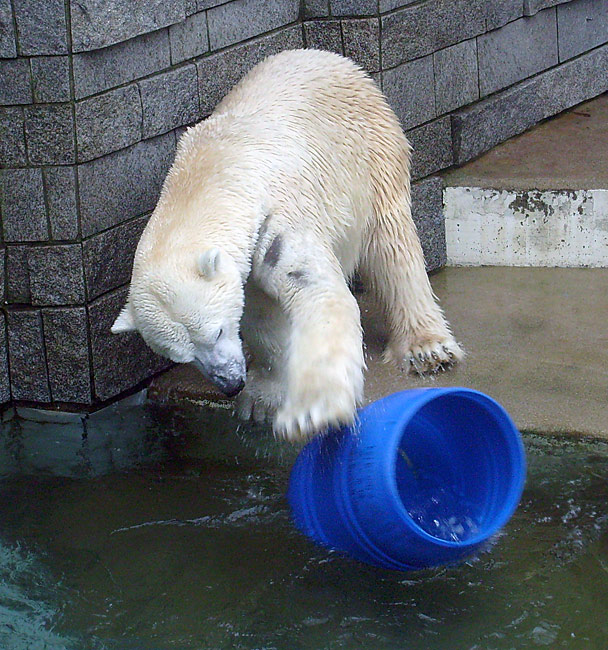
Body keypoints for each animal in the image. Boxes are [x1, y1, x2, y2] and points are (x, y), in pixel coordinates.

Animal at [110, 48, 460, 438]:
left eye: (217, 332)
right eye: (180, 356)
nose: (229, 383)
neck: (209, 174)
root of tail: (331, 58)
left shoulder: (277, 218)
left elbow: (318, 292)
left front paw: (313, 410)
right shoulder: (248, 260)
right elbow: (262, 317)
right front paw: (262, 401)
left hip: (370, 153)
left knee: (391, 244)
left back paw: (426, 348)